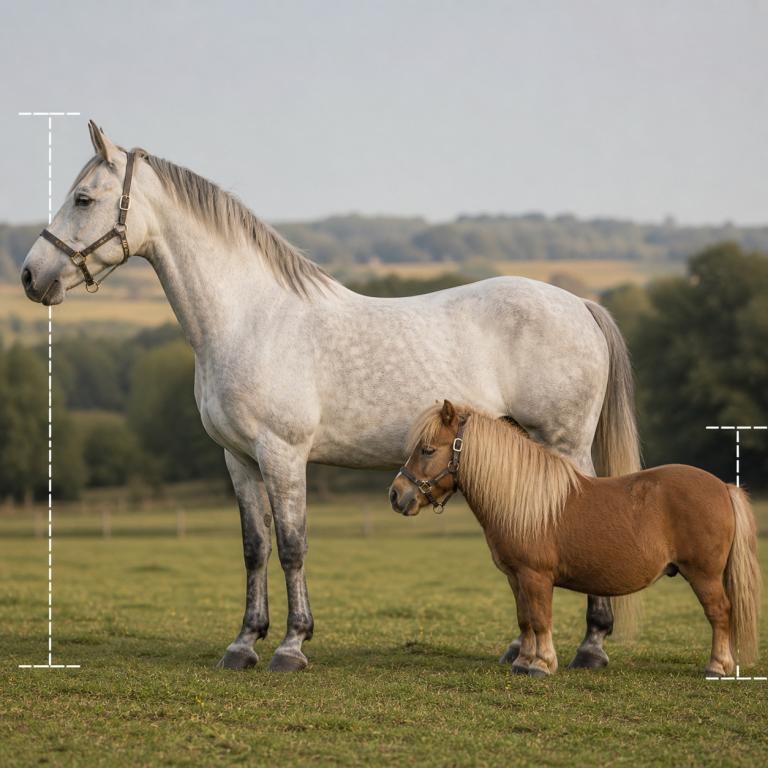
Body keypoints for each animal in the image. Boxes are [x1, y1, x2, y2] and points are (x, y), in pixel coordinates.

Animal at [21, 120, 641, 672]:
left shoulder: (283, 453)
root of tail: (579, 304)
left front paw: (292, 646)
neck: (250, 318)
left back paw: (588, 648)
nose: (30, 276)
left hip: (563, 442)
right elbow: (255, 548)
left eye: (82, 198)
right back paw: (523, 649)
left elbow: (293, 545)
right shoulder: (239, 459)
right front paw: (243, 644)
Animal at [390, 400, 761, 677]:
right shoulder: (516, 578)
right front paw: (523, 662)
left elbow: (541, 619)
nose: (396, 495)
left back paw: (717, 667)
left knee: (720, 613)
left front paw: (541, 665)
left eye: (427, 450)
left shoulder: (536, 576)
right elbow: (525, 619)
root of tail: (722, 487)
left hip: (704, 574)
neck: (524, 501)